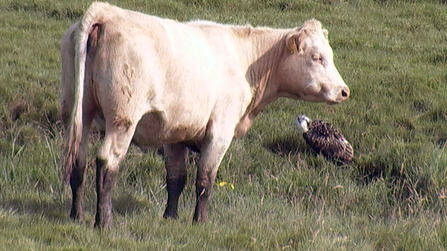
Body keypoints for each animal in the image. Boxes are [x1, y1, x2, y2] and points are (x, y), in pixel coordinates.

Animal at [61, 2, 352, 229]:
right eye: (317, 57)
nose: (344, 91)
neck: (246, 62)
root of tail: (106, 12)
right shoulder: (220, 131)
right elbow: (205, 179)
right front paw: (199, 222)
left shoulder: (174, 131)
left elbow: (176, 178)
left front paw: (170, 218)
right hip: (122, 120)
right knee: (107, 163)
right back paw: (104, 223)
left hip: (79, 113)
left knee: (79, 163)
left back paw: (77, 216)